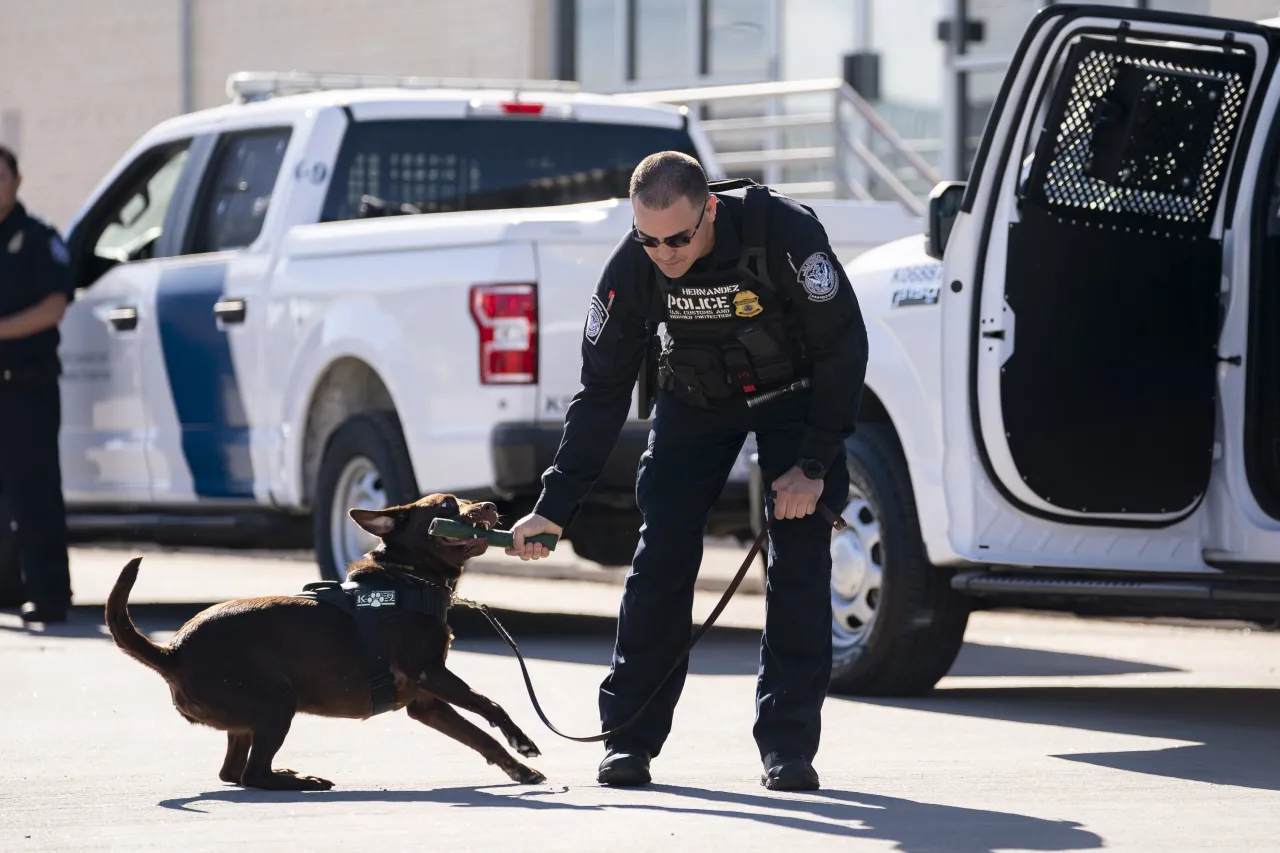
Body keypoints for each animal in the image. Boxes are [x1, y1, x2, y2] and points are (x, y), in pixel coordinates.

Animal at [106, 494, 545, 788]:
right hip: (277, 704)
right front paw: (522, 742)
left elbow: (480, 736)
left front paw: (518, 768)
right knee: (252, 775)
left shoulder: (426, 703)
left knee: (232, 772)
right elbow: (490, 704)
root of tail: (172, 652)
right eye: (448, 506)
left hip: (248, 717)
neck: (409, 578)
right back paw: (299, 781)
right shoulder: (431, 673)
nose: (489, 504)